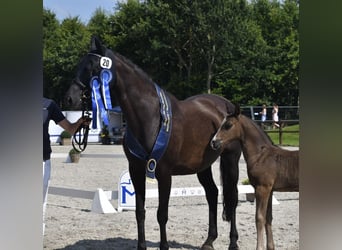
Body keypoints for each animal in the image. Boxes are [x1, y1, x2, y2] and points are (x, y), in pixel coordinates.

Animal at [64, 36, 240, 249]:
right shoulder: (136, 170)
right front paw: (141, 246)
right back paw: (209, 240)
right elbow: (140, 212)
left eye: (92, 67)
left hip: (231, 159)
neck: (151, 118)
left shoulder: (164, 173)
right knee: (212, 193)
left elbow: (161, 214)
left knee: (232, 197)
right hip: (202, 166)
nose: (69, 98)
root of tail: (227, 106)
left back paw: (233, 242)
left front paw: (164, 246)